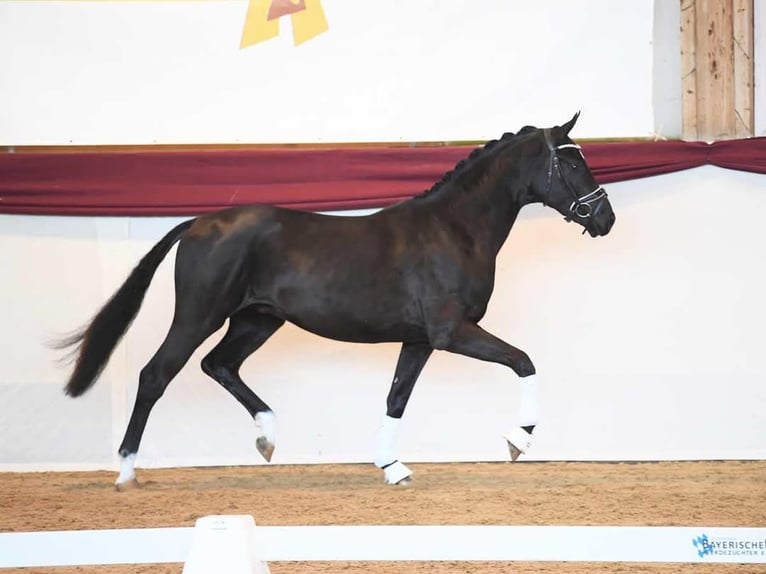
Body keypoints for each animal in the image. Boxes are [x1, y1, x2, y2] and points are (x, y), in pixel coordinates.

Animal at [57, 113, 616, 490]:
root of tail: (198, 223)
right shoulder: (451, 332)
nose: (605, 218)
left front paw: (393, 467)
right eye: (570, 161)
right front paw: (518, 441)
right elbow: (524, 362)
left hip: (257, 321)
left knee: (219, 366)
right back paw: (126, 473)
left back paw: (268, 437)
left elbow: (396, 398)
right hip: (200, 315)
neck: (453, 231)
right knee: (156, 375)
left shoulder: (419, 340)